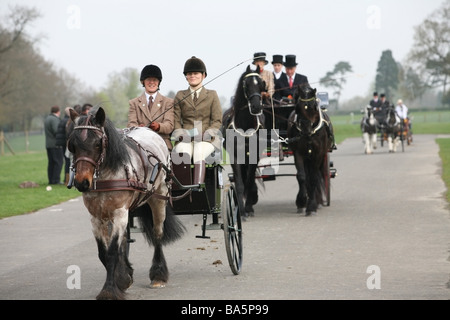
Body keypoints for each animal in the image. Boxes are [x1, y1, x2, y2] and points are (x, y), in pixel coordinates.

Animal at [222, 66, 266, 219]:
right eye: (246, 85)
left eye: (261, 84)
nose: (256, 106)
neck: (246, 126)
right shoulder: (234, 156)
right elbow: (240, 183)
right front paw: (241, 210)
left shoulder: (254, 156)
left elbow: (249, 181)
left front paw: (248, 208)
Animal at [288, 85, 334, 215]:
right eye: (298, 107)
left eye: (314, 106)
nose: (305, 128)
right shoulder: (298, 153)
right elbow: (302, 176)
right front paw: (302, 201)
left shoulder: (318, 154)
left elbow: (314, 178)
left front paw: (312, 205)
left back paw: (317, 202)